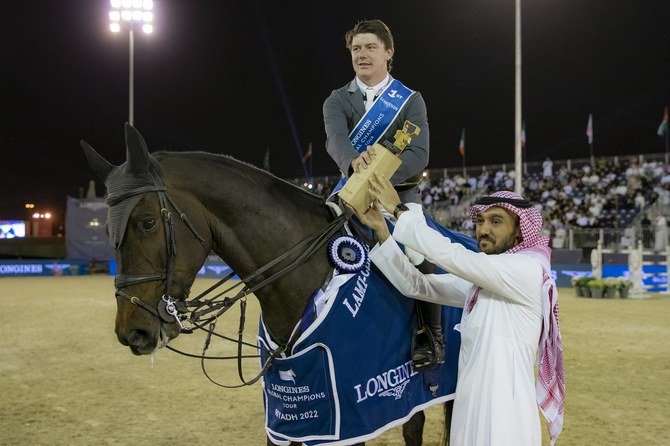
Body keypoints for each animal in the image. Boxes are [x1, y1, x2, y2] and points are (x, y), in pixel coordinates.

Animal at [81, 124, 454, 446]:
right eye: (107, 230)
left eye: (147, 223)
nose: (132, 332)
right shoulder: (289, 419)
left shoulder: (352, 422)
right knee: (414, 426)